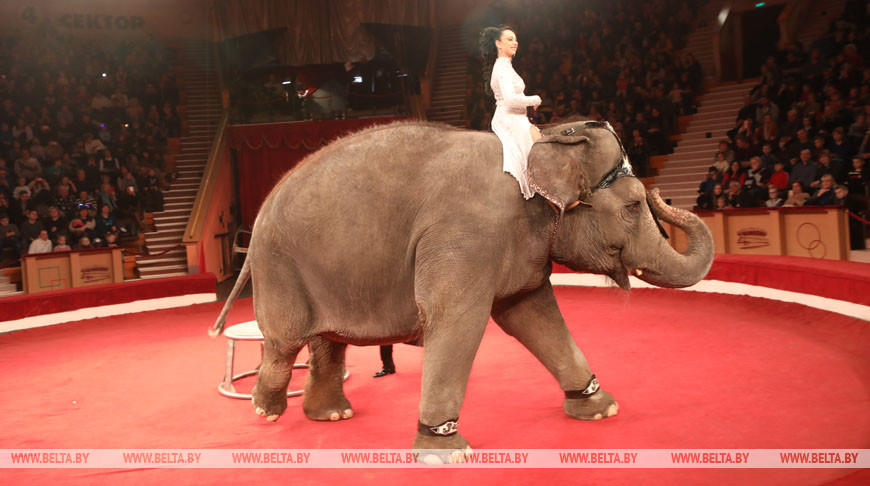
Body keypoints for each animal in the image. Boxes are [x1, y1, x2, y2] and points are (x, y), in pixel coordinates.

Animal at [211, 118, 716, 456]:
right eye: (633, 205)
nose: (663, 194)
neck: (541, 141)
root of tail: (260, 210)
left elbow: (531, 315)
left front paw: (599, 409)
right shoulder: (467, 236)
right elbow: (458, 321)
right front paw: (445, 451)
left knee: (327, 340)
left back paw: (331, 415)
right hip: (280, 266)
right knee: (284, 341)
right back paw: (265, 409)